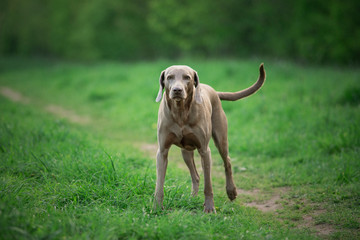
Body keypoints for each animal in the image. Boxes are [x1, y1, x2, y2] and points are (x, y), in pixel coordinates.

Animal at [154, 63, 264, 212]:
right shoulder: (162, 152)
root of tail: (215, 92)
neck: (180, 112)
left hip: (221, 138)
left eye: (187, 77)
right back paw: (192, 198)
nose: (177, 90)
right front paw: (157, 207)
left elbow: (208, 184)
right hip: (186, 152)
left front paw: (210, 207)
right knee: (195, 176)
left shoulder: (204, 151)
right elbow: (159, 183)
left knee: (227, 162)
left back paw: (231, 191)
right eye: (169, 77)